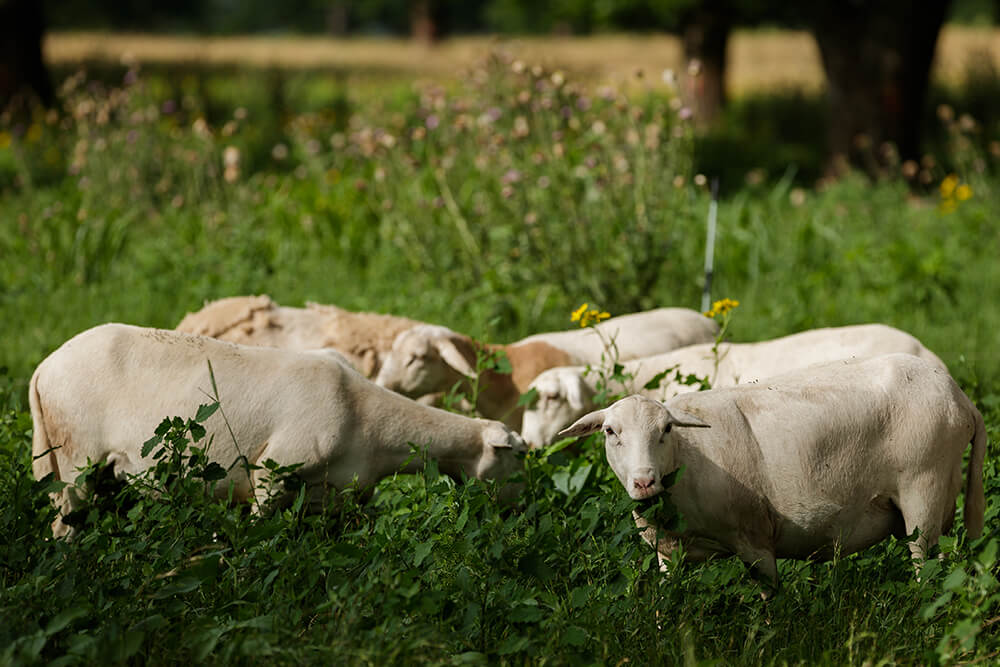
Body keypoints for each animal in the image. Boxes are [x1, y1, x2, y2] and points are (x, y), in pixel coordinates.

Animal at [27, 326, 528, 540]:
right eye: (518, 457)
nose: (520, 511)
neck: (374, 425)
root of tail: (43, 368)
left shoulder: (335, 497)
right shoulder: (274, 473)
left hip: (104, 475)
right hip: (75, 460)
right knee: (64, 524)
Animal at [560, 354, 988, 588]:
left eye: (665, 430)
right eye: (610, 432)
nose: (644, 482)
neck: (687, 461)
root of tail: (961, 398)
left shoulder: (755, 540)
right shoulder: (668, 557)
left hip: (924, 492)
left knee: (926, 569)